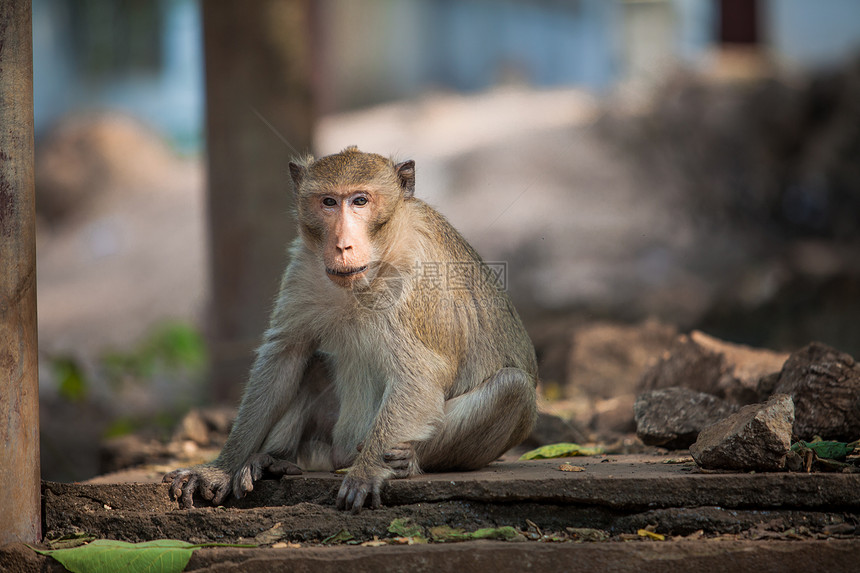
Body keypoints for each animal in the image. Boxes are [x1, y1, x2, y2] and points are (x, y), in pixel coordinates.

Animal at [163, 145, 536, 512]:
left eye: (360, 201)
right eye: (329, 202)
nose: (342, 245)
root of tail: (341, 454)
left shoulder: (418, 277)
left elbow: (420, 375)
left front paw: (368, 471)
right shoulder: (303, 266)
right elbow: (285, 356)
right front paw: (220, 468)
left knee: (512, 388)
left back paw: (406, 461)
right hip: (329, 440)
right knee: (312, 366)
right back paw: (271, 461)